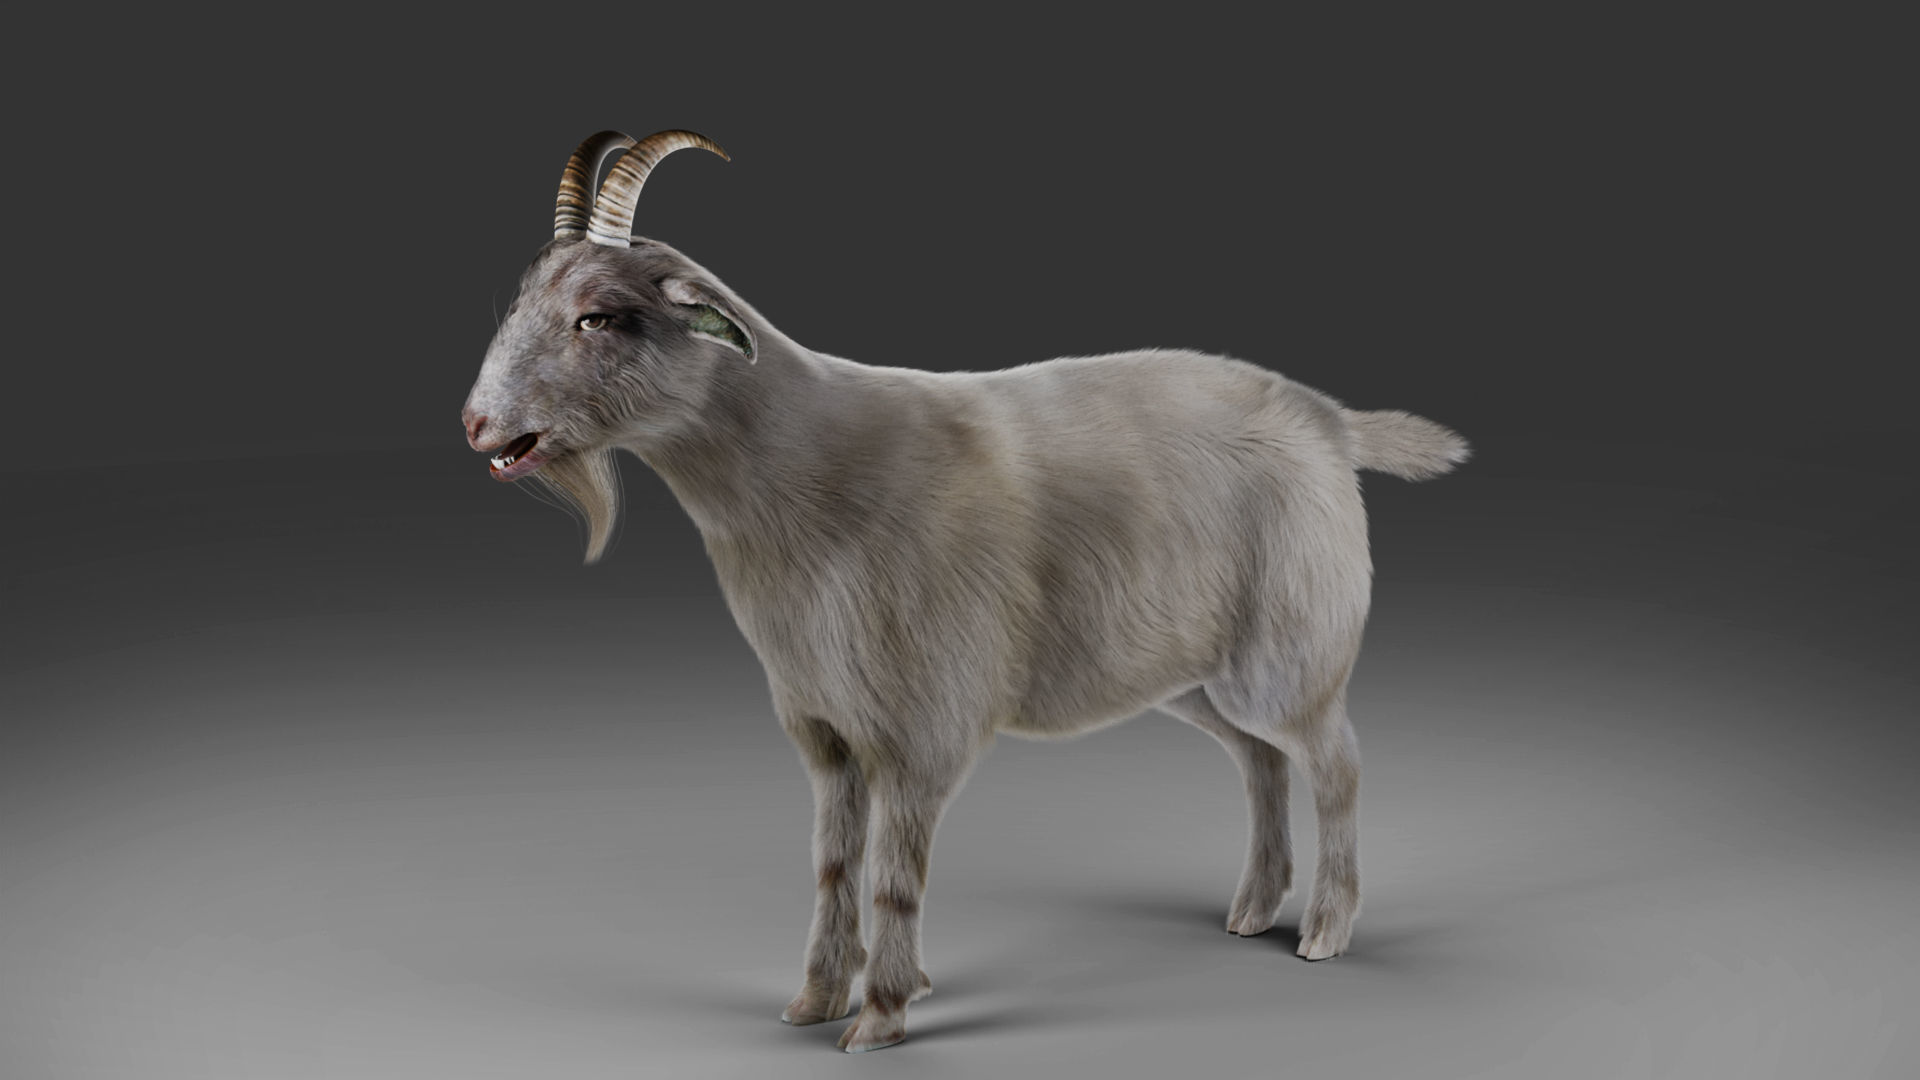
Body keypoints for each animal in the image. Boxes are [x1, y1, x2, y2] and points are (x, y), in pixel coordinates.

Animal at [460, 130, 1469, 1053]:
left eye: (599, 317)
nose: (476, 424)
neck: (810, 473)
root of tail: (1330, 420)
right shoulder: (825, 729)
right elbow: (834, 863)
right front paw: (814, 1000)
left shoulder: (922, 725)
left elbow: (893, 872)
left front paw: (880, 1014)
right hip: (1199, 677)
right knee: (1261, 763)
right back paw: (1255, 908)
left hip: (1291, 651)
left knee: (1334, 762)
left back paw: (1326, 929)